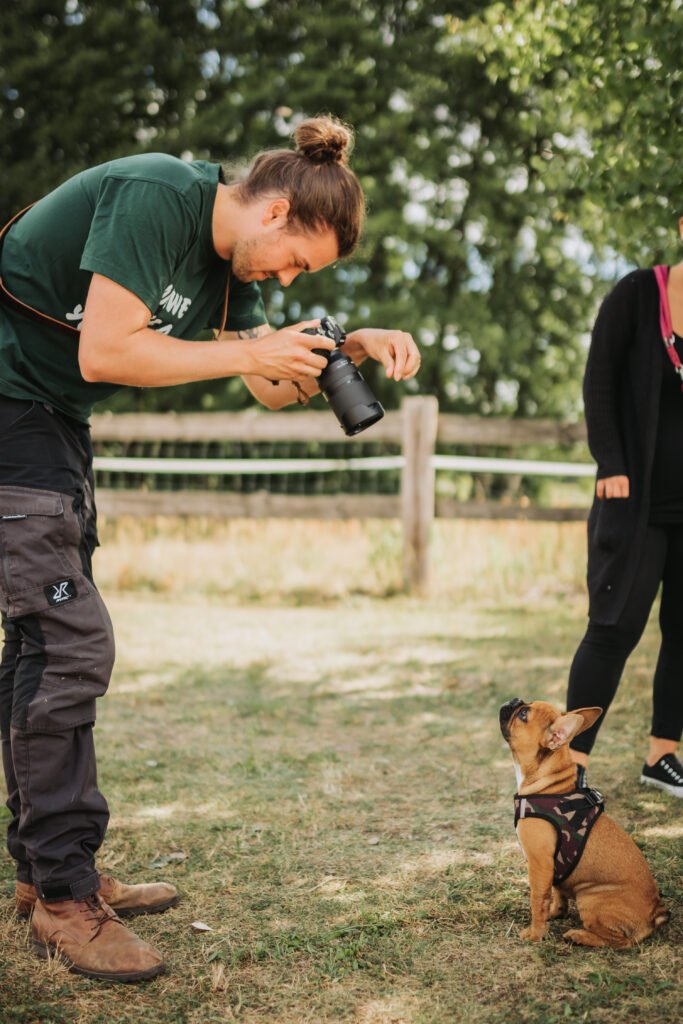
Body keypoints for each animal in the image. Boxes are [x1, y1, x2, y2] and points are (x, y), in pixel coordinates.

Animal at [499, 700, 671, 946]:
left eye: (523, 714)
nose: (514, 700)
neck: (547, 784)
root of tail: (655, 911)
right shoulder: (552, 867)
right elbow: (556, 892)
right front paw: (555, 913)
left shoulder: (540, 863)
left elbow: (538, 898)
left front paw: (535, 934)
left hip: (590, 898)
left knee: (621, 942)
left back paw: (580, 936)